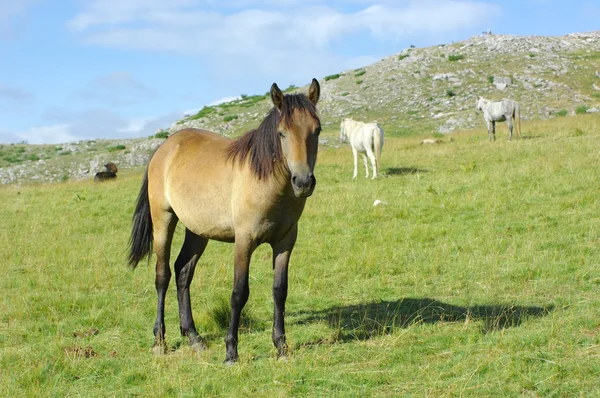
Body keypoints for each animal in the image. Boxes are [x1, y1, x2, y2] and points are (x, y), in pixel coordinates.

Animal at [129, 79, 322, 366]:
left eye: (317, 130)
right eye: (281, 133)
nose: (303, 182)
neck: (265, 182)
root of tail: (165, 147)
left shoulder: (285, 241)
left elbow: (280, 290)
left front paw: (281, 347)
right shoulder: (244, 241)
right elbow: (239, 293)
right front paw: (231, 352)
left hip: (197, 231)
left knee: (183, 272)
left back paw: (194, 337)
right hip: (163, 219)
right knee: (162, 276)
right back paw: (159, 342)